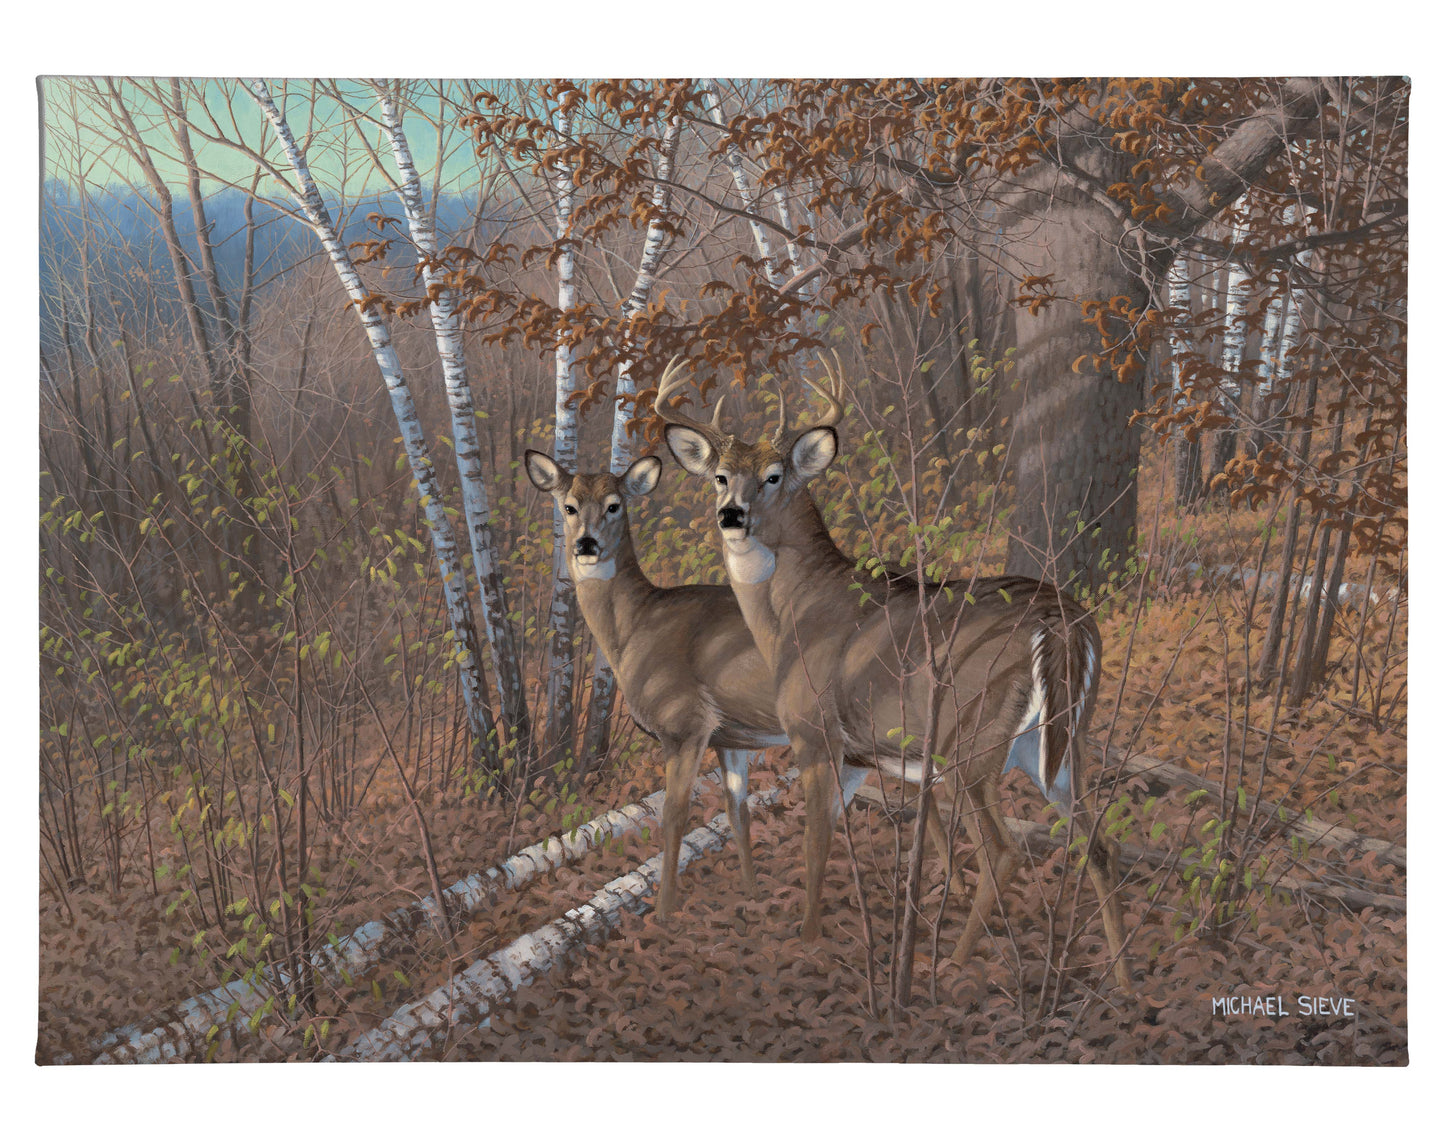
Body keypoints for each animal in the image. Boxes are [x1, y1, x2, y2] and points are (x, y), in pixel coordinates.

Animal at [525, 441, 970, 921]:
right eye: (568, 506)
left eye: (614, 505)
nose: (586, 544)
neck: (634, 628)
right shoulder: (730, 737)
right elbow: (737, 812)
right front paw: (752, 894)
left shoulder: (685, 722)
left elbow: (674, 815)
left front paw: (663, 914)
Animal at [658, 355, 1131, 989]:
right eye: (719, 475)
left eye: (775, 475)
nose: (731, 514)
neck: (793, 616)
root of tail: (1065, 625)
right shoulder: (870, 755)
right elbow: (887, 835)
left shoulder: (815, 732)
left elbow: (816, 840)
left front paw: (808, 939)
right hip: (1060, 743)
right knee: (1101, 845)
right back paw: (1122, 979)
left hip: (972, 740)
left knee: (1006, 851)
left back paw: (951, 967)